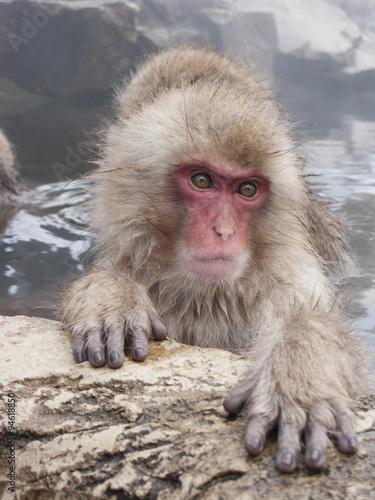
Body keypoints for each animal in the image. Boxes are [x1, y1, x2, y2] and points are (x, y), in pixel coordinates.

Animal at [61, 47, 364, 472]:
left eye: (247, 189)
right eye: (202, 181)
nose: (224, 231)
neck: (206, 292)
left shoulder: (288, 278)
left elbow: (309, 318)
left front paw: (300, 378)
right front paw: (110, 298)